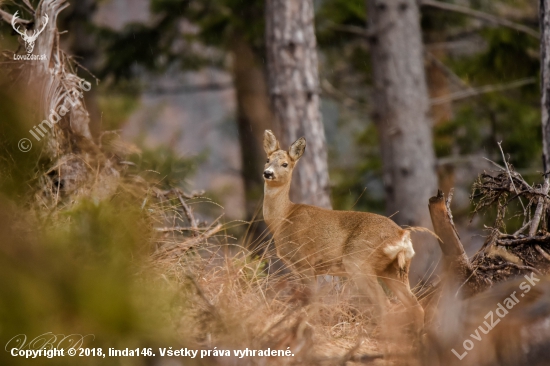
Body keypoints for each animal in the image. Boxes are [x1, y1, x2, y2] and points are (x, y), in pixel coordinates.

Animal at [264, 130, 426, 334]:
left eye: (285, 164)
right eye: (267, 159)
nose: (267, 173)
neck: (283, 218)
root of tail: (401, 235)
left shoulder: (304, 261)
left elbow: (311, 301)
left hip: (358, 261)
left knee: (385, 303)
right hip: (395, 270)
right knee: (415, 306)